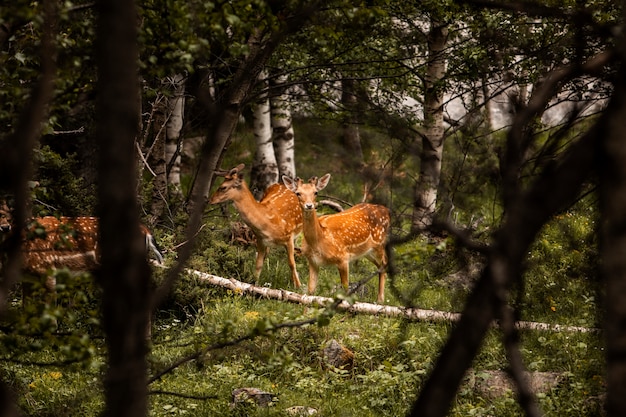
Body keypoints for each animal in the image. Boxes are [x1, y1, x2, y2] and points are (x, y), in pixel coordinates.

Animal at [282, 173, 390, 302]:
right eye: (298, 193)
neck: (319, 241)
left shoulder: (343, 258)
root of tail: (386, 210)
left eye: (315, 192)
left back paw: (380, 300)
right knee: (380, 266)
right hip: (367, 252)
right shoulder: (313, 262)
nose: (309, 205)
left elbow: (345, 290)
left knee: (384, 263)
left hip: (379, 243)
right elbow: (310, 292)